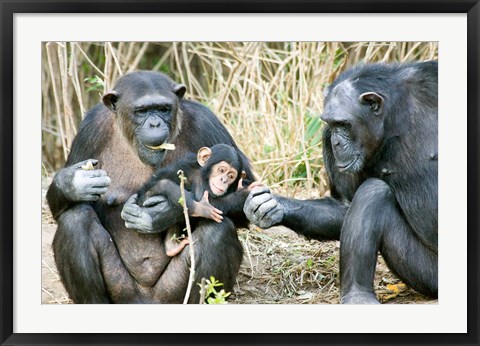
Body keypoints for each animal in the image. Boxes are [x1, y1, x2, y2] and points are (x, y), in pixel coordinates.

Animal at [46, 71, 255, 302]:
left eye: (163, 109)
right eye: (142, 111)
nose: (154, 123)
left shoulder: (207, 122)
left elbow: (243, 200)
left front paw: (161, 214)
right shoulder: (89, 129)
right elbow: (59, 209)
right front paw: (73, 182)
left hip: (170, 294)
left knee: (217, 230)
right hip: (121, 291)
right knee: (75, 220)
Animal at [246, 60, 436, 304]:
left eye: (343, 124)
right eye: (332, 125)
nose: (336, 142)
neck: (394, 117)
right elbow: (345, 205)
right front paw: (272, 205)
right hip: (427, 274)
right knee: (374, 192)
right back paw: (358, 295)